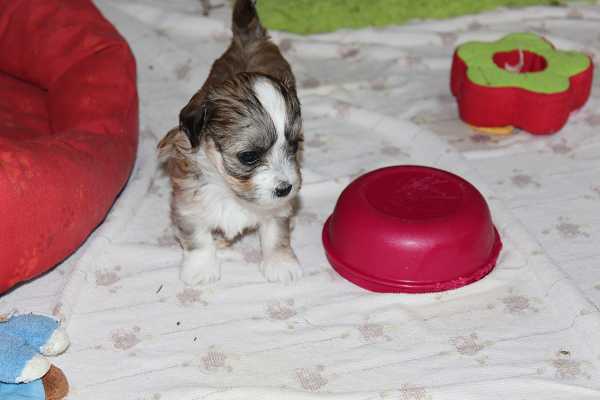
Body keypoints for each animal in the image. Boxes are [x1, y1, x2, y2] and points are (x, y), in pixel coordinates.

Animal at [158, 0, 303, 285]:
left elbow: (276, 231)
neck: (229, 189)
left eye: (293, 146)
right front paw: (201, 268)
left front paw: (280, 263)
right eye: (249, 156)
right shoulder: (188, 202)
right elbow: (197, 237)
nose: (286, 189)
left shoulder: (277, 209)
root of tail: (248, 38)